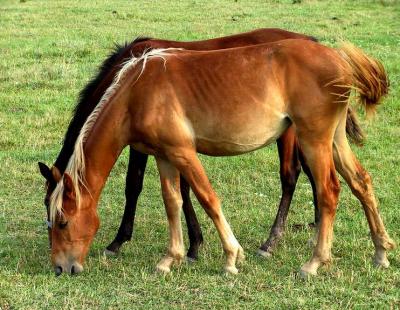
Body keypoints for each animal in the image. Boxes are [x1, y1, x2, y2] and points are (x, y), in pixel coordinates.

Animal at [47, 38, 394, 276]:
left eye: (62, 222)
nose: (61, 268)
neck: (138, 90)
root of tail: (338, 60)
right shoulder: (164, 156)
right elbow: (172, 202)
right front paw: (170, 258)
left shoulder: (183, 153)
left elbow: (207, 198)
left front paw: (231, 257)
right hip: (334, 141)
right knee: (361, 183)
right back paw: (381, 251)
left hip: (313, 141)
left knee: (328, 191)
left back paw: (313, 262)